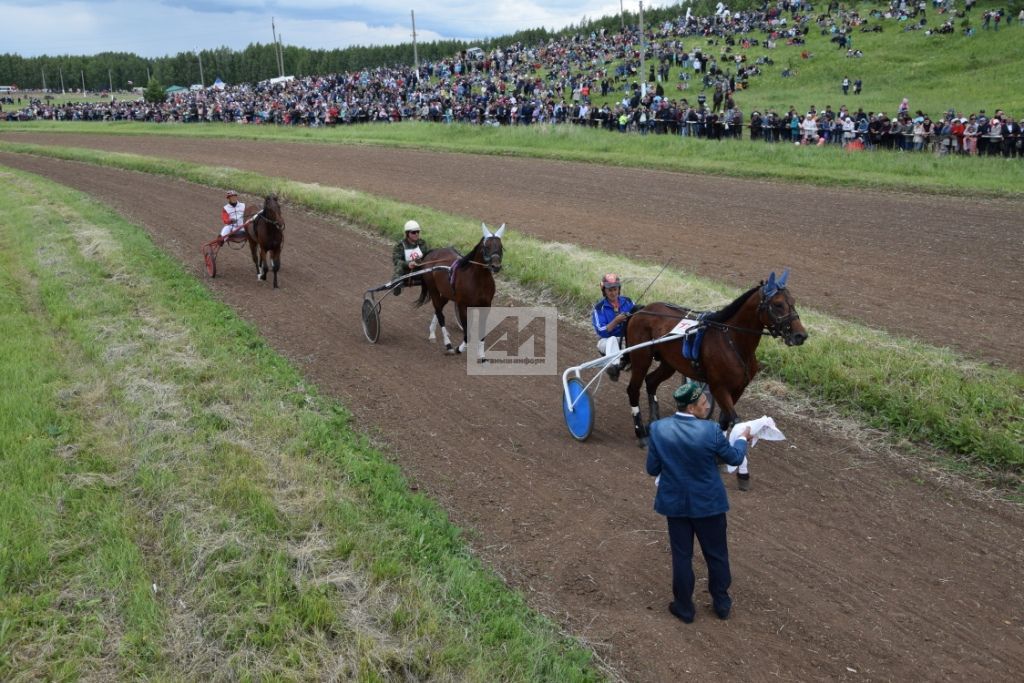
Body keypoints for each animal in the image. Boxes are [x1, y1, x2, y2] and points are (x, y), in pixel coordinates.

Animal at [413, 223, 505, 358]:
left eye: (501, 247)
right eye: (486, 247)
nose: (496, 266)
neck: (478, 281)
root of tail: (433, 252)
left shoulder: (486, 306)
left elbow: (482, 333)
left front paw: (482, 357)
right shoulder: (463, 305)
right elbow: (467, 333)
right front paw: (459, 348)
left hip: (446, 293)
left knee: (438, 308)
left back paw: (432, 333)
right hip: (433, 289)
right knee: (440, 313)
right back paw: (448, 344)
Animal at [622, 270, 806, 446]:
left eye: (793, 301)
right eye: (778, 304)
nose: (800, 335)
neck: (734, 342)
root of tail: (642, 310)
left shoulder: (739, 388)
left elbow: (725, 420)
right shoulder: (719, 387)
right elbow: (734, 419)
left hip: (669, 363)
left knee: (651, 381)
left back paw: (654, 422)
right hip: (641, 357)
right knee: (633, 389)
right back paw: (641, 433)